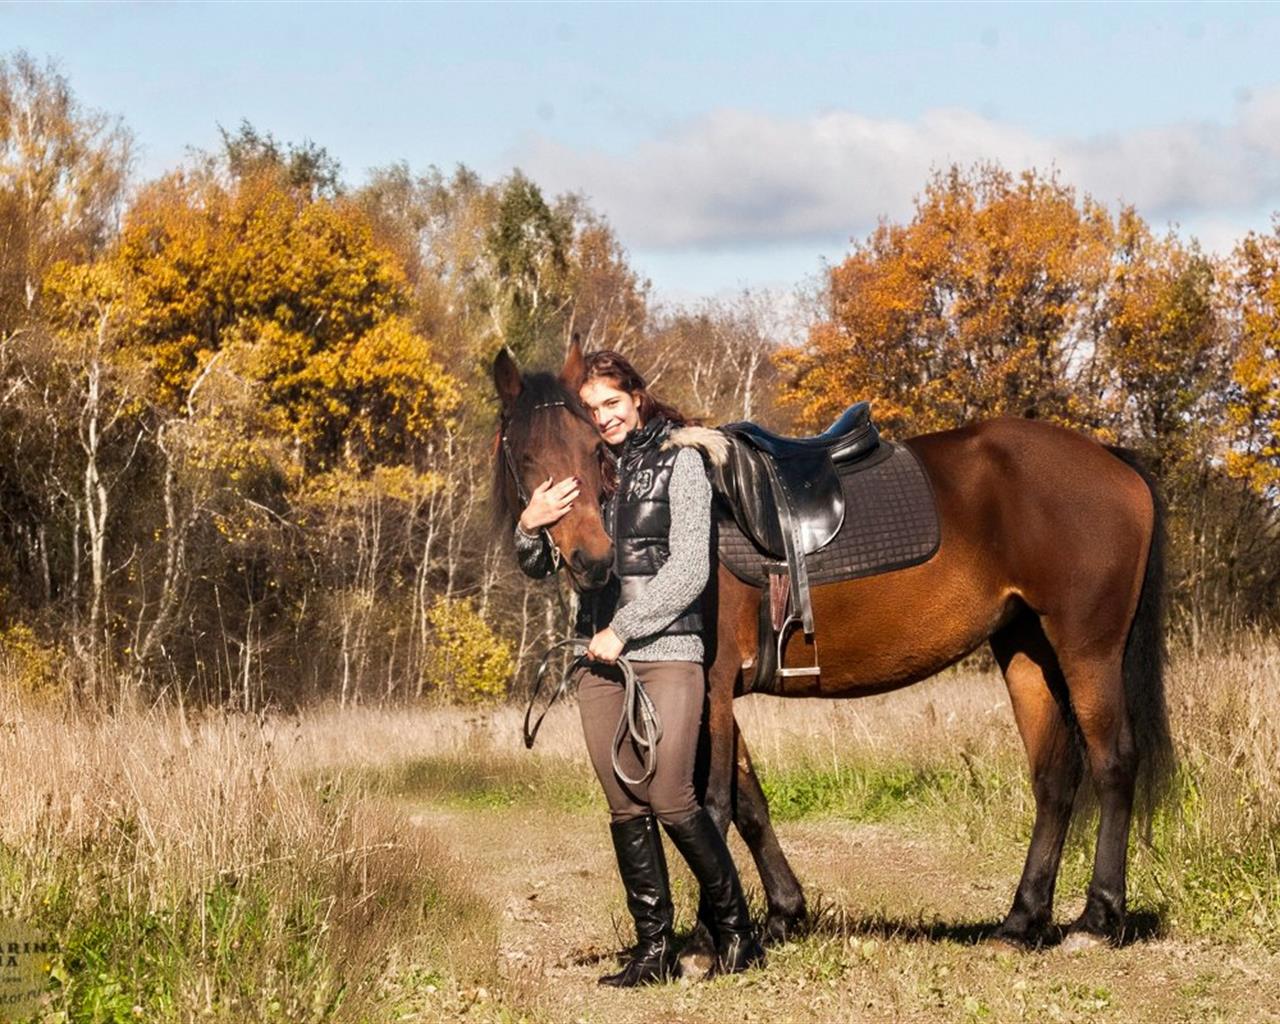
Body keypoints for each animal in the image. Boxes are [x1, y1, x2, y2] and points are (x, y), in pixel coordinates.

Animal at [488, 345, 1172, 962]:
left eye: (594, 447)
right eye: (526, 455)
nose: (593, 558)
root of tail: (1113, 461)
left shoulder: (709, 686)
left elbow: (711, 803)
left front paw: (712, 941)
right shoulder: (714, 695)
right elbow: (749, 804)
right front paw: (782, 915)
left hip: (1087, 648)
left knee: (1114, 763)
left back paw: (1097, 919)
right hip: (1027, 649)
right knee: (1054, 780)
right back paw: (1022, 922)